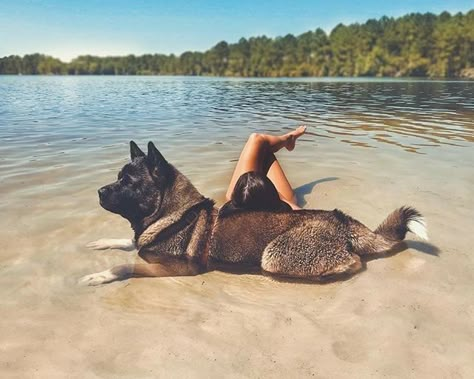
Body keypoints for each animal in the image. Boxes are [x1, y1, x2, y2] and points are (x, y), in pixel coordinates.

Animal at [79, 141, 428, 286]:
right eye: (118, 177)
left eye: (128, 182)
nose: (98, 192)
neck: (173, 214)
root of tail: (341, 219)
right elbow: (128, 242)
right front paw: (103, 243)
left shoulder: (177, 267)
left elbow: (125, 266)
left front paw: (99, 275)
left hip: (274, 255)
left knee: (352, 260)